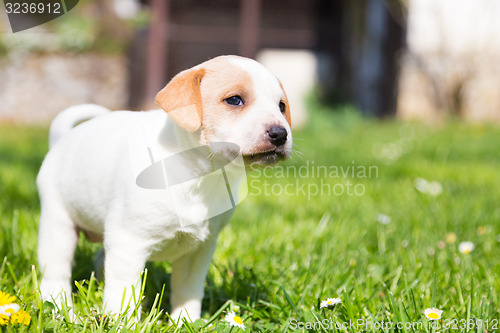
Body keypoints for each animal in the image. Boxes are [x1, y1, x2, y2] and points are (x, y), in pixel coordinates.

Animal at [37, 55, 292, 322]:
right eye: (234, 100)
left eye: (281, 106)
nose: (280, 133)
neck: (197, 177)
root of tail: (61, 140)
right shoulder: (128, 243)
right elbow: (123, 291)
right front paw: (125, 323)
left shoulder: (199, 251)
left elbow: (188, 290)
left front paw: (186, 321)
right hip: (59, 226)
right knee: (56, 271)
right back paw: (59, 306)